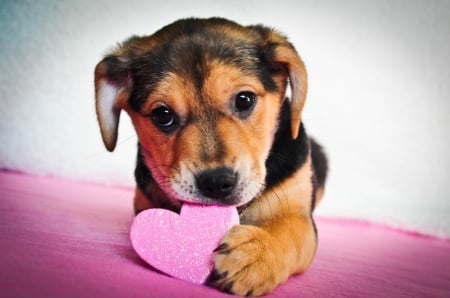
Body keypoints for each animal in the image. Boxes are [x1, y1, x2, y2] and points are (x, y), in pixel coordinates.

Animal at [94, 17, 326, 296]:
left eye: (244, 99)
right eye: (162, 115)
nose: (216, 183)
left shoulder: (298, 213)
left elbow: (288, 230)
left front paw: (256, 254)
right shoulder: (145, 203)